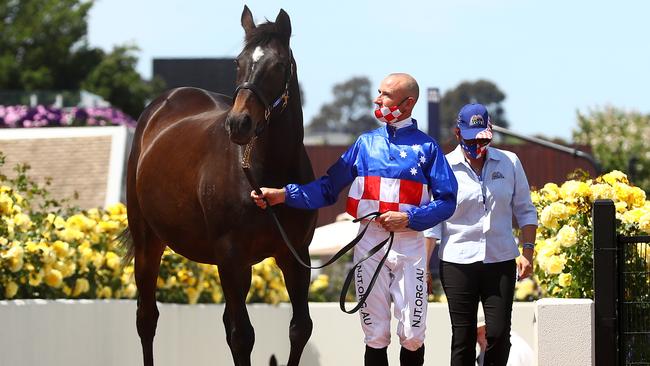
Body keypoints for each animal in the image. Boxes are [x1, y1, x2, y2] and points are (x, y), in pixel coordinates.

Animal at [123, 6, 318, 366]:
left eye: (278, 65)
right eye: (238, 63)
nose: (239, 123)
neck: (267, 174)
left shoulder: (295, 254)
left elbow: (299, 328)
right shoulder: (232, 256)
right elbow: (242, 337)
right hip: (149, 244)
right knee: (147, 319)